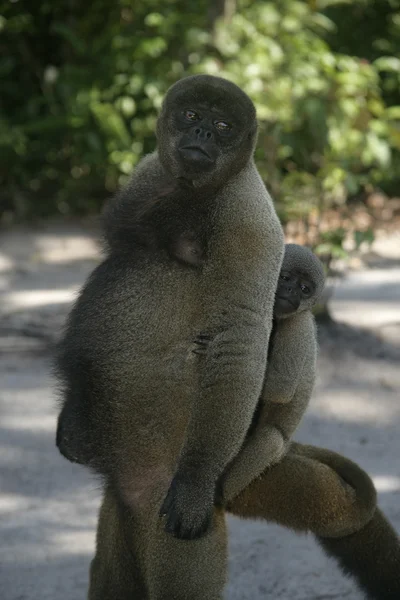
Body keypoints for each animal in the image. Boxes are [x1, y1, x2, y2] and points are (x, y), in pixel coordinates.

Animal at [55, 75, 284, 600]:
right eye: (192, 116)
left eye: (224, 126)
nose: (202, 137)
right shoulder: (148, 168)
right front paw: (69, 421)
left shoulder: (249, 217)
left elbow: (237, 341)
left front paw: (197, 481)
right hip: (121, 508)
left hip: (163, 489)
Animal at [216, 244, 324, 502]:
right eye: (285, 278)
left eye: (305, 289)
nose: (291, 290)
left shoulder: (298, 326)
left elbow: (281, 388)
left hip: (278, 451)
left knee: (271, 439)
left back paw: (221, 493)